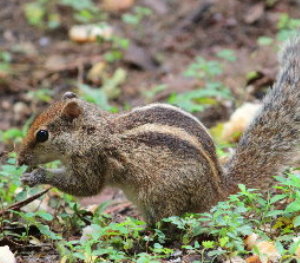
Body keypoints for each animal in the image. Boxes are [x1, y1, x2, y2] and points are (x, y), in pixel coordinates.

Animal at [18, 38, 300, 225]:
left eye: (42, 135)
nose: (19, 159)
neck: (93, 131)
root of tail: (218, 190)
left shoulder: (92, 162)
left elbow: (86, 188)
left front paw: (36, 176)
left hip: (160, 196)